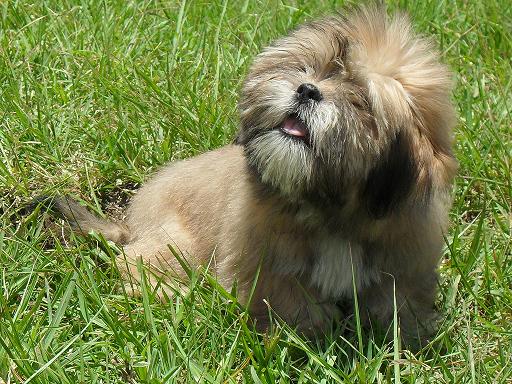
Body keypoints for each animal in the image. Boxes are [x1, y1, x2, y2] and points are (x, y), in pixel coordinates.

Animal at [47, 6, 456, 342]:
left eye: (360, 101)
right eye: (307, 69)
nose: (307, 90)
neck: (330, 211)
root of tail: (131, 223)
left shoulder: (405, 257)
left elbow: (396, 304)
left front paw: (404, 340)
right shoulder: (266, 265)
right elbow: (289, 305)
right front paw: (301, 338)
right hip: (175, 242)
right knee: (135, 265)